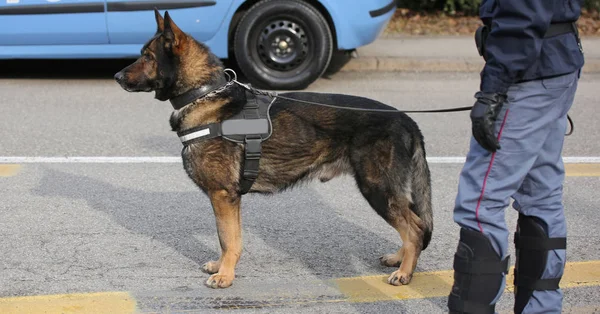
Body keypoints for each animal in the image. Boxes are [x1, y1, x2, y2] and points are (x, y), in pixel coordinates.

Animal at [113, 9, 432, 290]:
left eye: (147, 56)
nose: (116, 76)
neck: (203, 94)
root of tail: (406, 119)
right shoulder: (228, 199)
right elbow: (228, 239)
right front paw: (222, 266)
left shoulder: (223, 196)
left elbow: (228, 239)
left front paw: (225, 276)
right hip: (387, 192)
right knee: (413, 224)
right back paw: (400, 258)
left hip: (377, 189)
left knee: (415, 229)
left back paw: (405, 273)